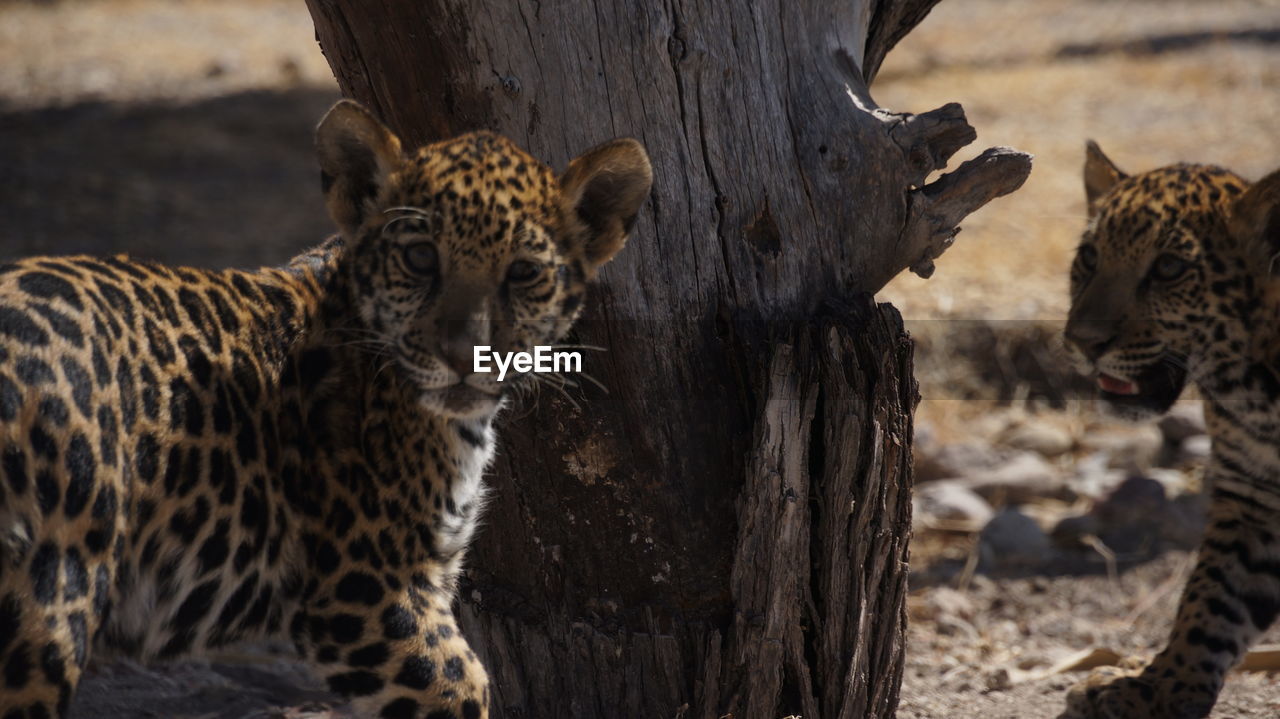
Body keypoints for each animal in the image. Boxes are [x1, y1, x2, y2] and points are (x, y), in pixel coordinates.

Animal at [0, 99, 645, 716]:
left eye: (523, 272)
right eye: (420, 257)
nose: (465, 355)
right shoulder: (371, 595)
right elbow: (466, 689)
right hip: (49, 598)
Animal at [1059, 141, 1280, 716]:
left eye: (1168, 267)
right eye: (1089, 257)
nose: (1083, 342)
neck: (1251, 387)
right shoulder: (1255, 496)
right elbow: (1213, 597)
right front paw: (1160, 685)